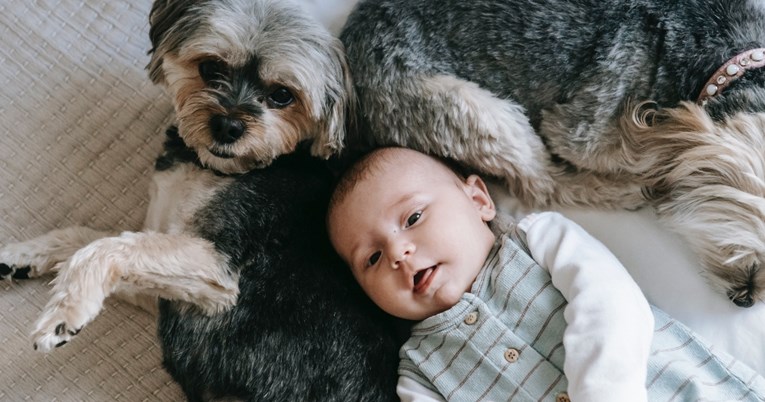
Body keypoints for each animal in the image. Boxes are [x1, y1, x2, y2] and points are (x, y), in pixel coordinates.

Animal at [1, 0, 400, 400]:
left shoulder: (217, 270)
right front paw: (21, 257)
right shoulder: (167, 287)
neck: (214, 168)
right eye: (211, 67)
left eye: (283, 95)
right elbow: (88, 238)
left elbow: (107, 247)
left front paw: (64, 314)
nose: (227, 126)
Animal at [340, 0, 765, 308]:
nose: (747, 300)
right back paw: (621, 191)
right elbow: (637, 154)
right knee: (544, 182)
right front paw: (656, 175)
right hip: (468, 108)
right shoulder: (578, 129)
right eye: (739, 247)